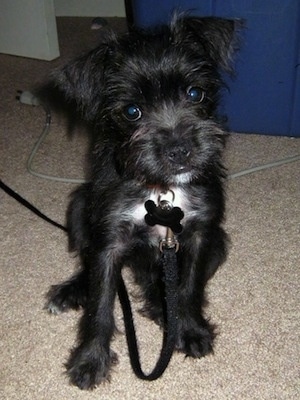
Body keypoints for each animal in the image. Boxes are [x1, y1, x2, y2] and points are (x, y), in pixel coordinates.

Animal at [46, 16, 239, 390]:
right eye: (132, 111)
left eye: (195, 93)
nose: (179, 150)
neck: (162, 189)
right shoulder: (108, 244)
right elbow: (100, 305)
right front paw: (90, 360)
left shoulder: (201, 234)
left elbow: (189, 287)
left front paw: (190, 330)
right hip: (79, 206)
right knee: (86, 265)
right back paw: (71, 291)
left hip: (220, 243)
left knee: (159, 283)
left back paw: (160, 306)